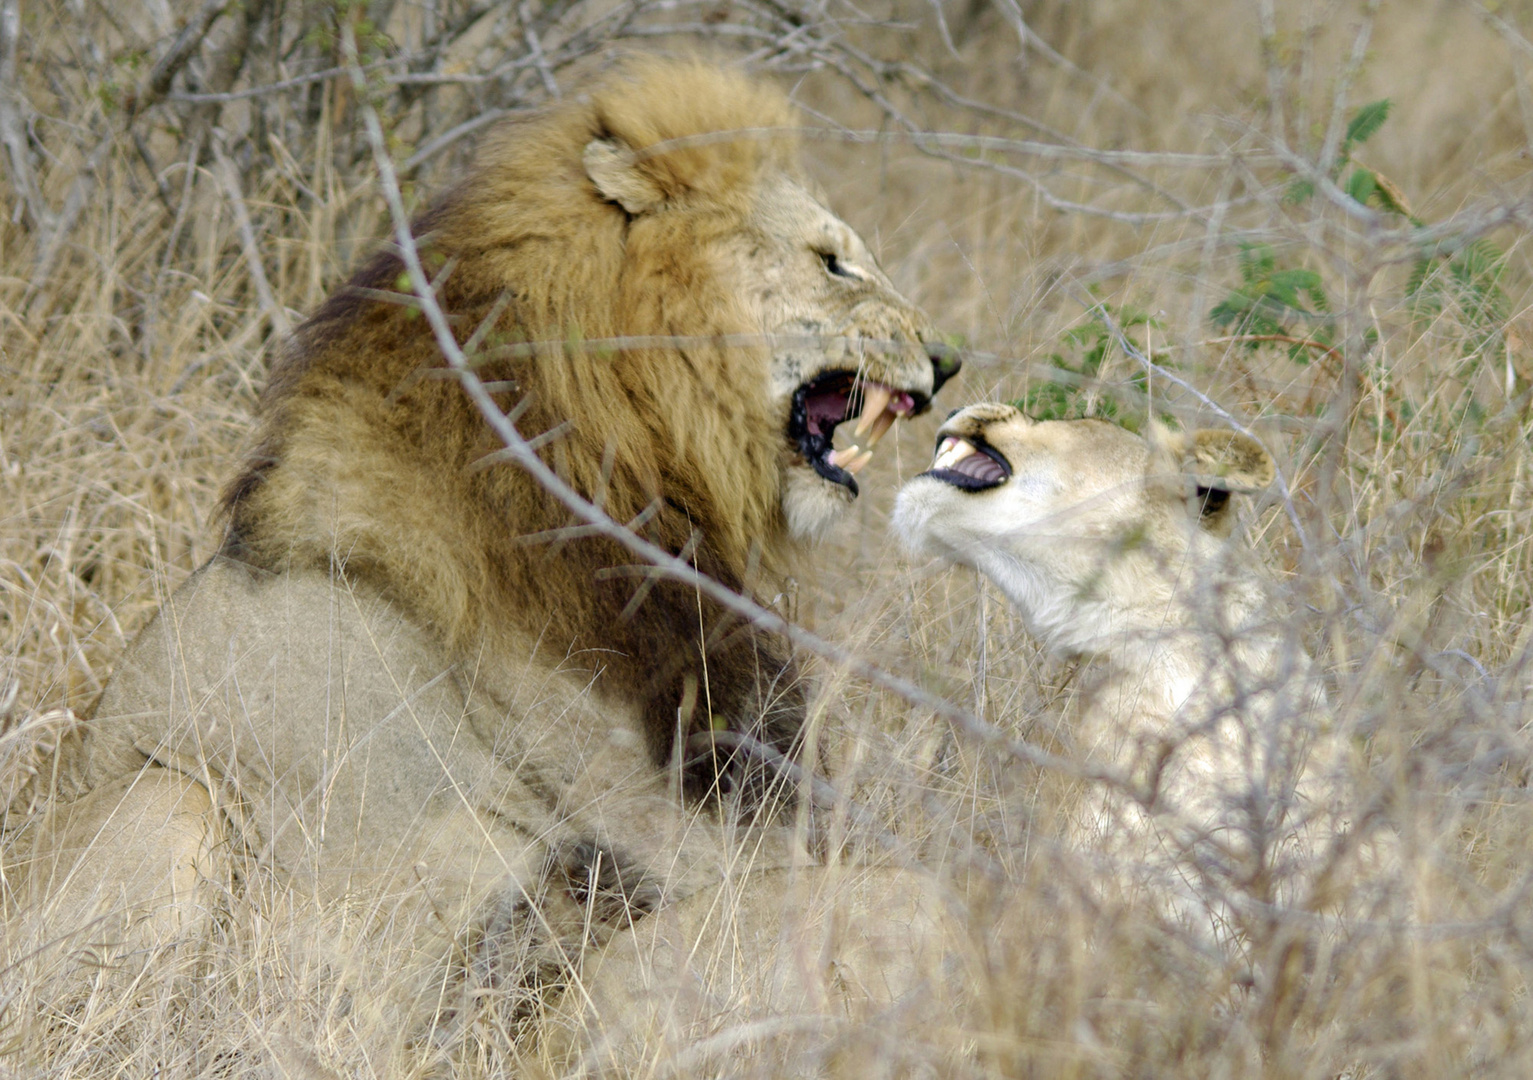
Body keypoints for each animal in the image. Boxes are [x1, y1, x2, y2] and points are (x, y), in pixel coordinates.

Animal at [11, 56, 962, 1060]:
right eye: (831, 260)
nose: (947, 360)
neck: (637, 446)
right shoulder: (636, 811)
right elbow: (901, 889)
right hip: (172, 805)